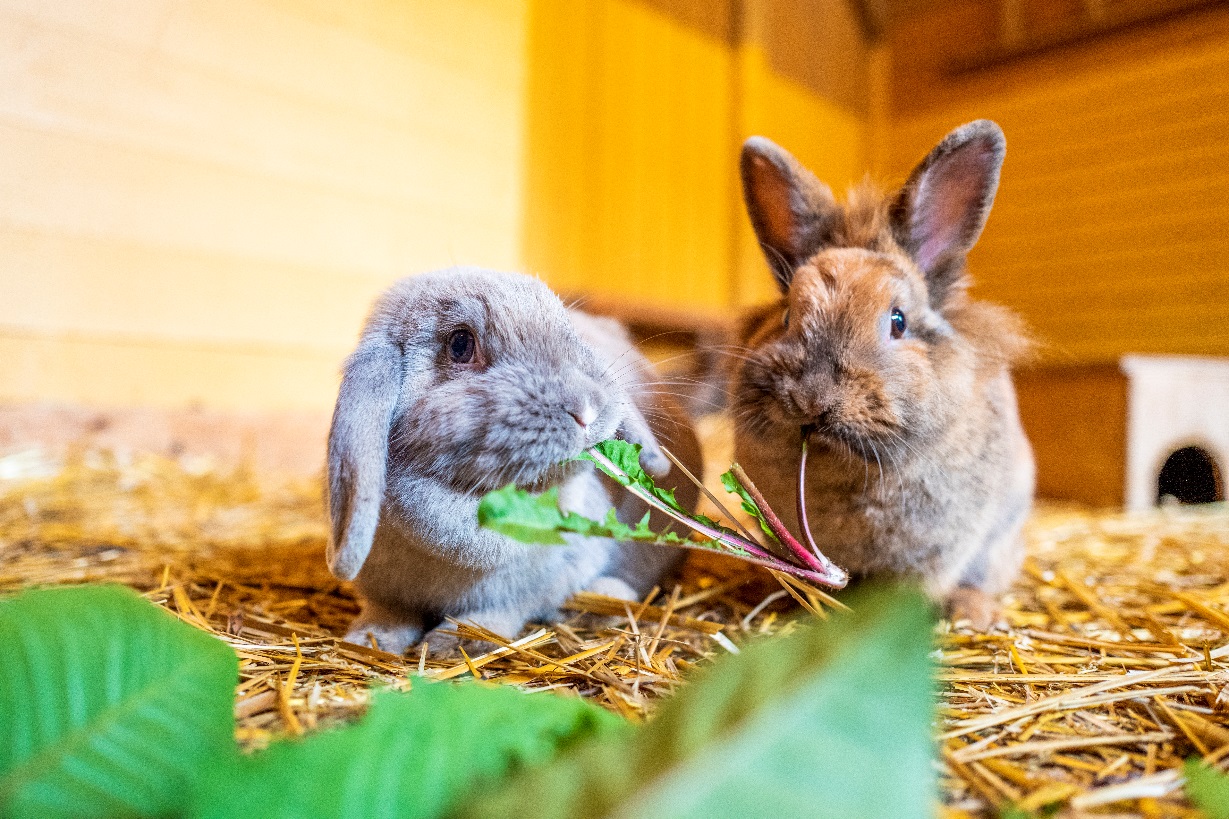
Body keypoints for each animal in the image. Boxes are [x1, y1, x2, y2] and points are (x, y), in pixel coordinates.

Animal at [326, 266, 703, 654]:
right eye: (460, 344)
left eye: (566, 329)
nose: (586, 408)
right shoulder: (385, 594)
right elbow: (388, 614)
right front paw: (369, 639)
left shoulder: (518, 595)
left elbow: (492, 616)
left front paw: (450, 643)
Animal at [730, 120, 1035, 628]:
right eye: (788, 315)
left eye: (898, 321)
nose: (813, 399)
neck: (843, 470)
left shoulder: (937, 551)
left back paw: (974, 613)